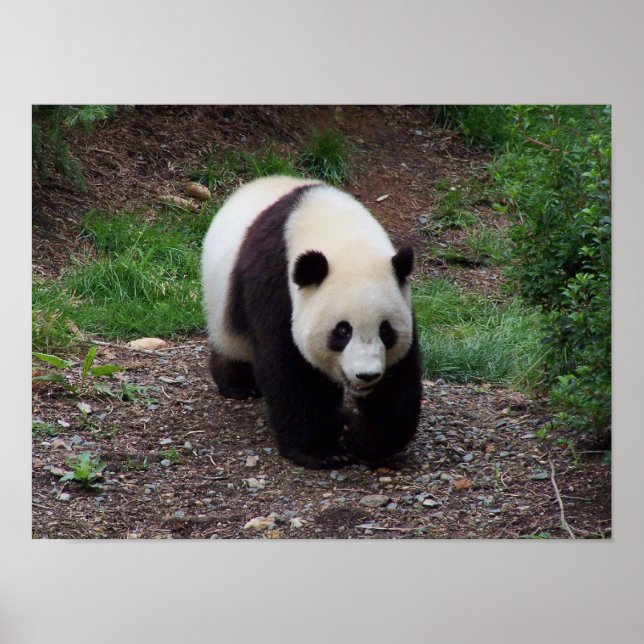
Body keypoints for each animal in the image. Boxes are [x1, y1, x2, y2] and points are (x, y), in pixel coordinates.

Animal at [201, 176, 422, 469]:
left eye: (386, 330)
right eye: (342, 331)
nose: (367, 375)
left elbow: (398, 382)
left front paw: (362, 440)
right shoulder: (276, 283)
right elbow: (293, 369)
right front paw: (322, 451)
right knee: (233, 343)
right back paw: (238, 384)